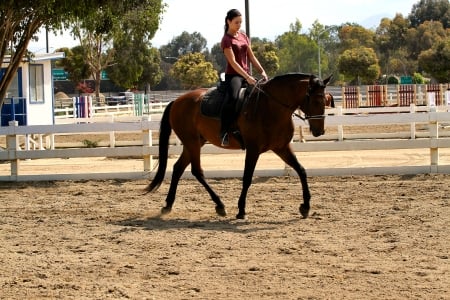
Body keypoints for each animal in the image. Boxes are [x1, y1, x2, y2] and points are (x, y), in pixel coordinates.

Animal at [146, 72, 332, 218]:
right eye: (315, 101)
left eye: (325, 101)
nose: (319, 131)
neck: (271, 107)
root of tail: (177, 101)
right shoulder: (253, 149)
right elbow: (247, 178)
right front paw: (241, 210)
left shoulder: (281, 147)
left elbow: (301, 170)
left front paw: (305, 207)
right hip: (192, 142)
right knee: (196, 171)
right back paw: (220, 205)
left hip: (195, 142)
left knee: (178, 168)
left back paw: (168, 205)